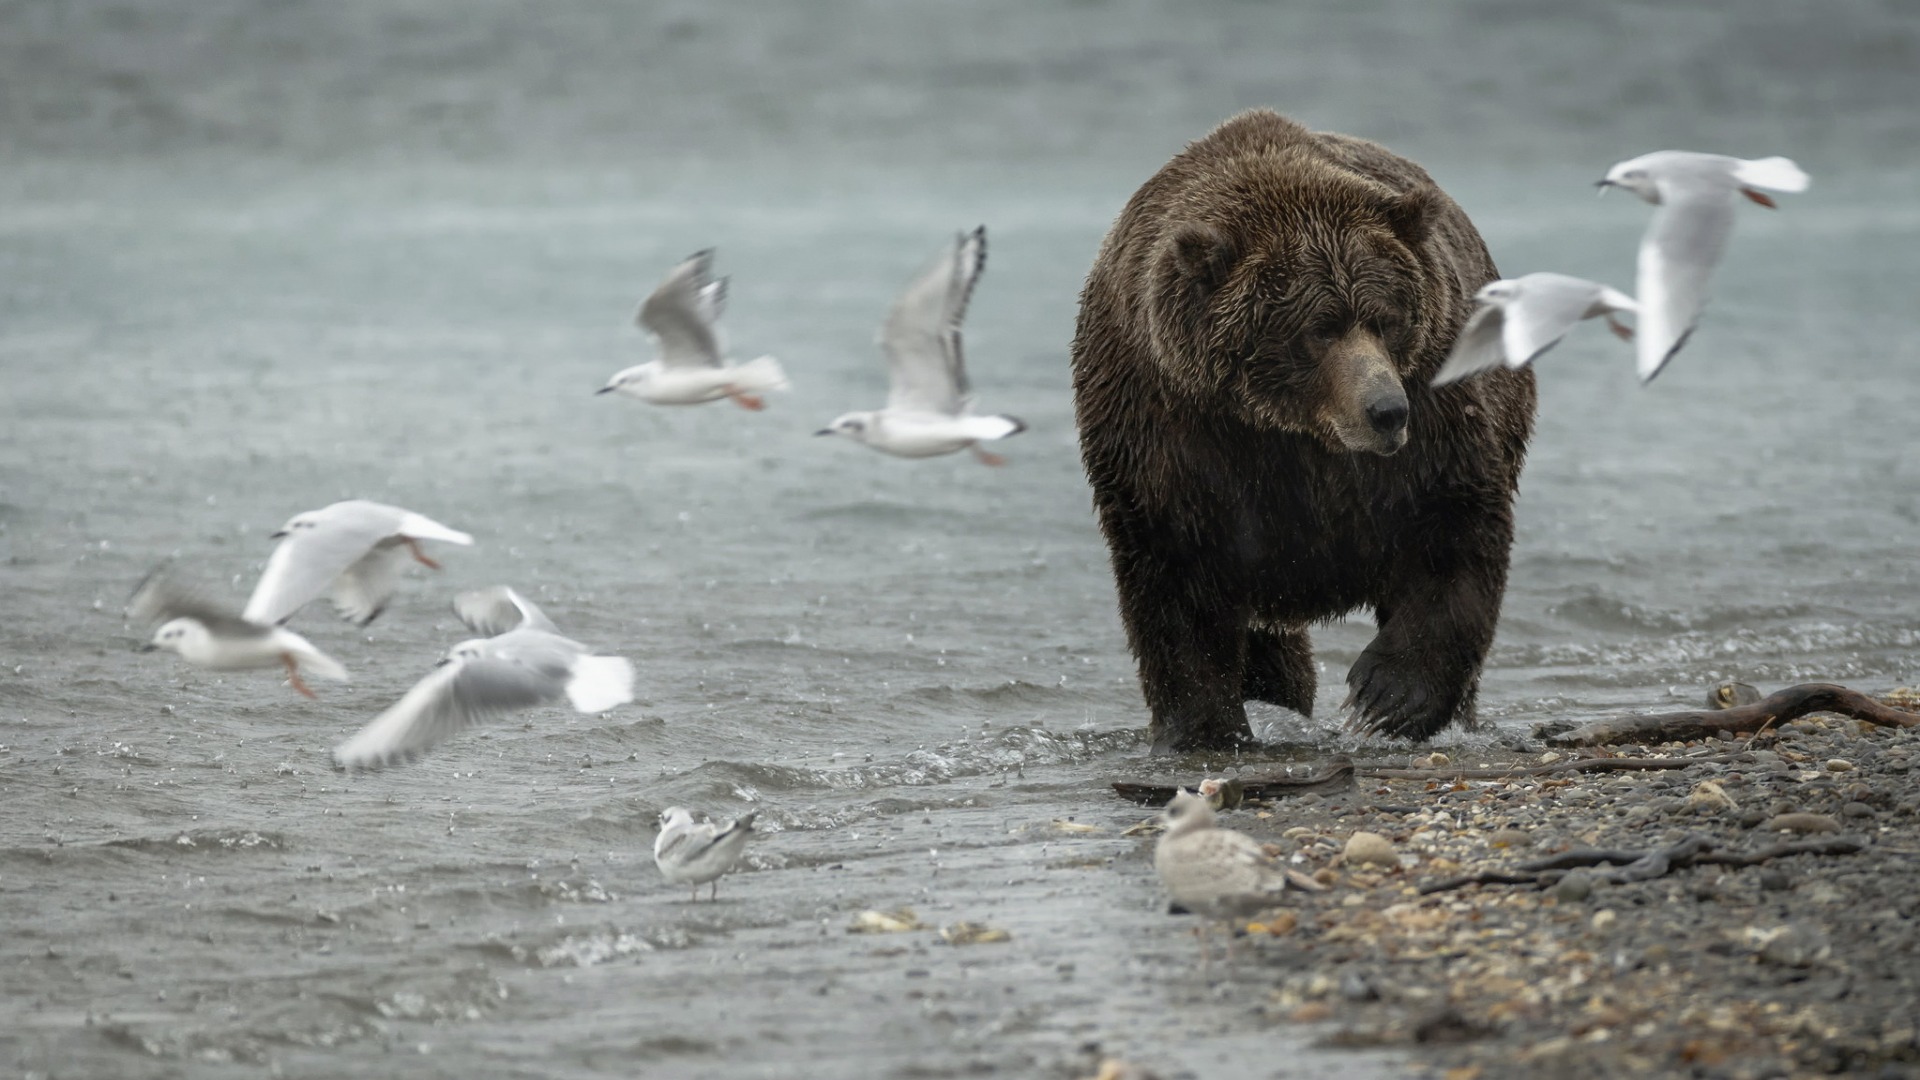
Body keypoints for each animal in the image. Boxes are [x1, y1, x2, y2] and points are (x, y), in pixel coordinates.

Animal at [1075, 109, 1536, 749]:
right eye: (1321, 327)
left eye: (1385, 319)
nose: (1386, 411)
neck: (1288, 429)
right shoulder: (1169, 433)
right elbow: (1175, 582)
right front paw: (1202, 727)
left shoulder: (1432, 419)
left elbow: (1454, 531)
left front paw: (1385, 698)